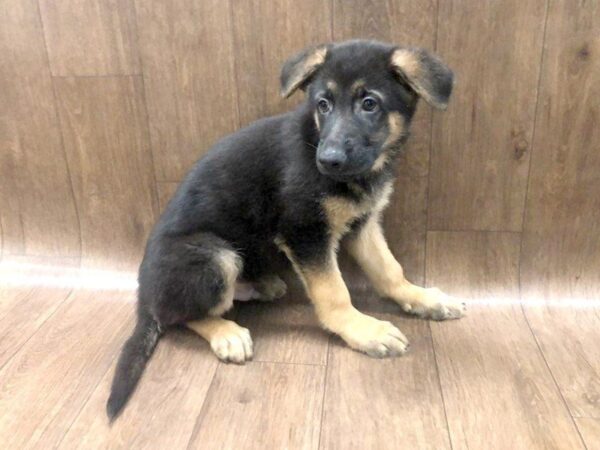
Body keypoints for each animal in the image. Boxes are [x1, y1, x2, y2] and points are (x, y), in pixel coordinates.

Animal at [106, 40, 464, 420]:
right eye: (323, 104)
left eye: (370, 103)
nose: (328, 160)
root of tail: (143, 295)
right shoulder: (305, 232)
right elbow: (334, 291)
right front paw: (361, 329)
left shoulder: (363, 224)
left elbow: (389, 270)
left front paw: (423, 298)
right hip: (213, 255)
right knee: (176, 314)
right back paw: (225, 332)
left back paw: (259, 286)